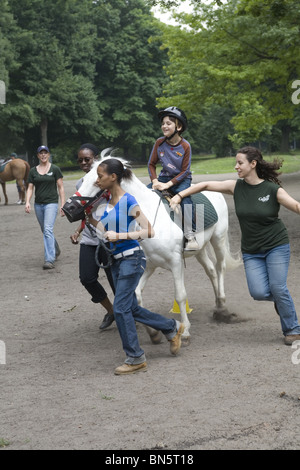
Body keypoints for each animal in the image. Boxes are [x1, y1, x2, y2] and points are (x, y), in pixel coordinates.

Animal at [69, 153, 240, 342]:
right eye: (83, 179)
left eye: (97, 181)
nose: (68, 208)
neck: (149, 219)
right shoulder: (148, 266)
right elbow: (136, 295)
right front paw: (153, 333)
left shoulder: (175, 263)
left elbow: (180, 296)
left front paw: (185, 330)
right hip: (200, 249)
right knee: (210, 271)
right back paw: (217, 305)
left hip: (218, 238)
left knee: (219, 267)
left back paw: (222, 304)